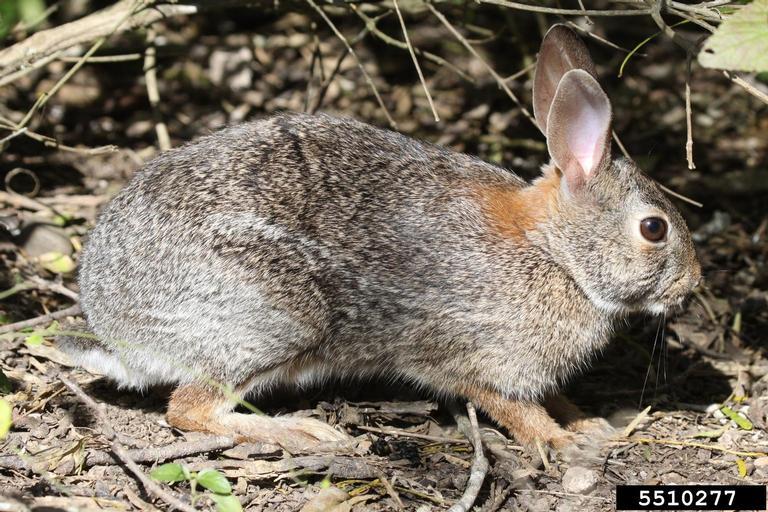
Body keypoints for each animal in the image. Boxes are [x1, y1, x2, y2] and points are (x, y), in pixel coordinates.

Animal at [57, 26, 700, 454]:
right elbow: (512, 408)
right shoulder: (471, 355)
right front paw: (563, 444)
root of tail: (117, 328)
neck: (555, 253)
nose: (692, 287)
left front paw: (590, 423)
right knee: (188, 409)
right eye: (654, 228)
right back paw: (303, 431)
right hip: (272, 318)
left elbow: (554, 397)